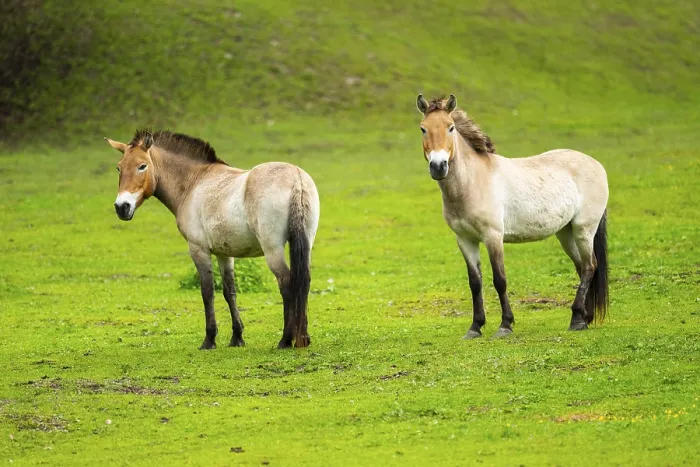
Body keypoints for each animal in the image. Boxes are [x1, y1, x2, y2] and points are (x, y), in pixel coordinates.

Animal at [104, 129, 320, 349]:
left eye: (142, 166)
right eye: (119, 168)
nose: (122, 207)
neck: (193, 182)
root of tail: (296, 179)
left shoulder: (198, 249)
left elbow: (207, 292)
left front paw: (209, 339)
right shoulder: (224, 253)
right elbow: (229, 291)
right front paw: (237, 337)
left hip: (273, 249)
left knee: (287, 283)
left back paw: (285, 339)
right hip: (306, 243)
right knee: (304, 281)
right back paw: (303, 338)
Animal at [416, 94, 609, 338]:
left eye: (450, 127)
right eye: (423, 129)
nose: (438, 167)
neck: (473, 181)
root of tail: (596, 164)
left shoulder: (493, 237)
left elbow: (500, 280)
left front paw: (505, 325)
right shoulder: (465, 240)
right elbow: (475, 282)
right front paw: (475, 327)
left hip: (584, 229)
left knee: (589, 266)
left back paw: (576, 319)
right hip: (566, 233)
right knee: (583, 267)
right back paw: (585, 318)